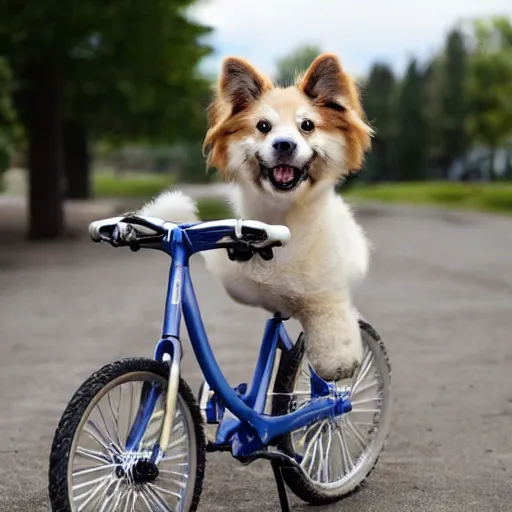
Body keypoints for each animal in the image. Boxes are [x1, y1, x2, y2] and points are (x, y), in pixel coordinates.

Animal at [138, 53, 374, 380]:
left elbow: (331, 323)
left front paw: (338, 362)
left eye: (307, 125)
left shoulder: (327, 294)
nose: (284, 144)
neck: (282, 218)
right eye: (263, 126)